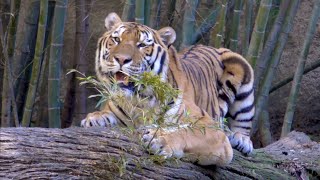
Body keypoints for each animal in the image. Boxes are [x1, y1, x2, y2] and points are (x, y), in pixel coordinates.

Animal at [80, 11, 255, 165]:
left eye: (141, 45)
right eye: (116, 39)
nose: (122, 59)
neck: (140, 99)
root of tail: (211, 46)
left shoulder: (211, 130)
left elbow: (187, 133)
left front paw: (160, 141)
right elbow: (106, 113)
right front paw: (94, 119)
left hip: (241, 68)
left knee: (243, 124)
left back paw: (239, 139)